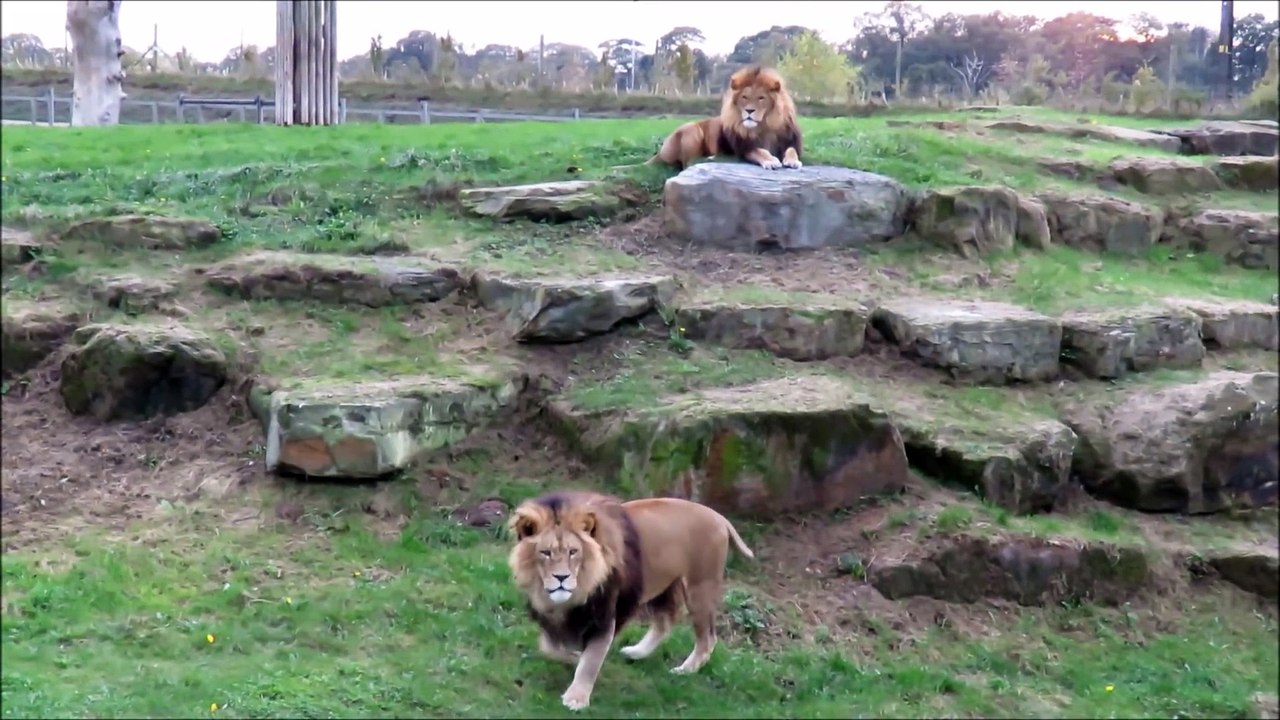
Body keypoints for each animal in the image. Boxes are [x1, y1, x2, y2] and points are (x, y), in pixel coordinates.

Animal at [507, 490, 755, 711]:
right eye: (545, 552)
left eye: (573, 552)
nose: (561, 578)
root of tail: (720, 517)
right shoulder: (550, 619)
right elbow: (549, 647)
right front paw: (573, 657)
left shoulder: (605, 616)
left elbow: (591, 661)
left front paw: (576, 698)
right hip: (663, 585)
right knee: (665, 623)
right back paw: (637, 652)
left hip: (699, 588)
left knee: (707, 639)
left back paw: (685, 670)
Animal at [647, 65, 803, 171]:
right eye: (744, 97)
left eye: (761, 98)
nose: (749, 110)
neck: (765, 126)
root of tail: (660, 152)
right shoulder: (744, 149)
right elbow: (760, 151)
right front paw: (770, 160)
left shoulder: (790, 141)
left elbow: (791, 150)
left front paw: (793, 161)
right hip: (691, 129)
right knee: (687, 163)